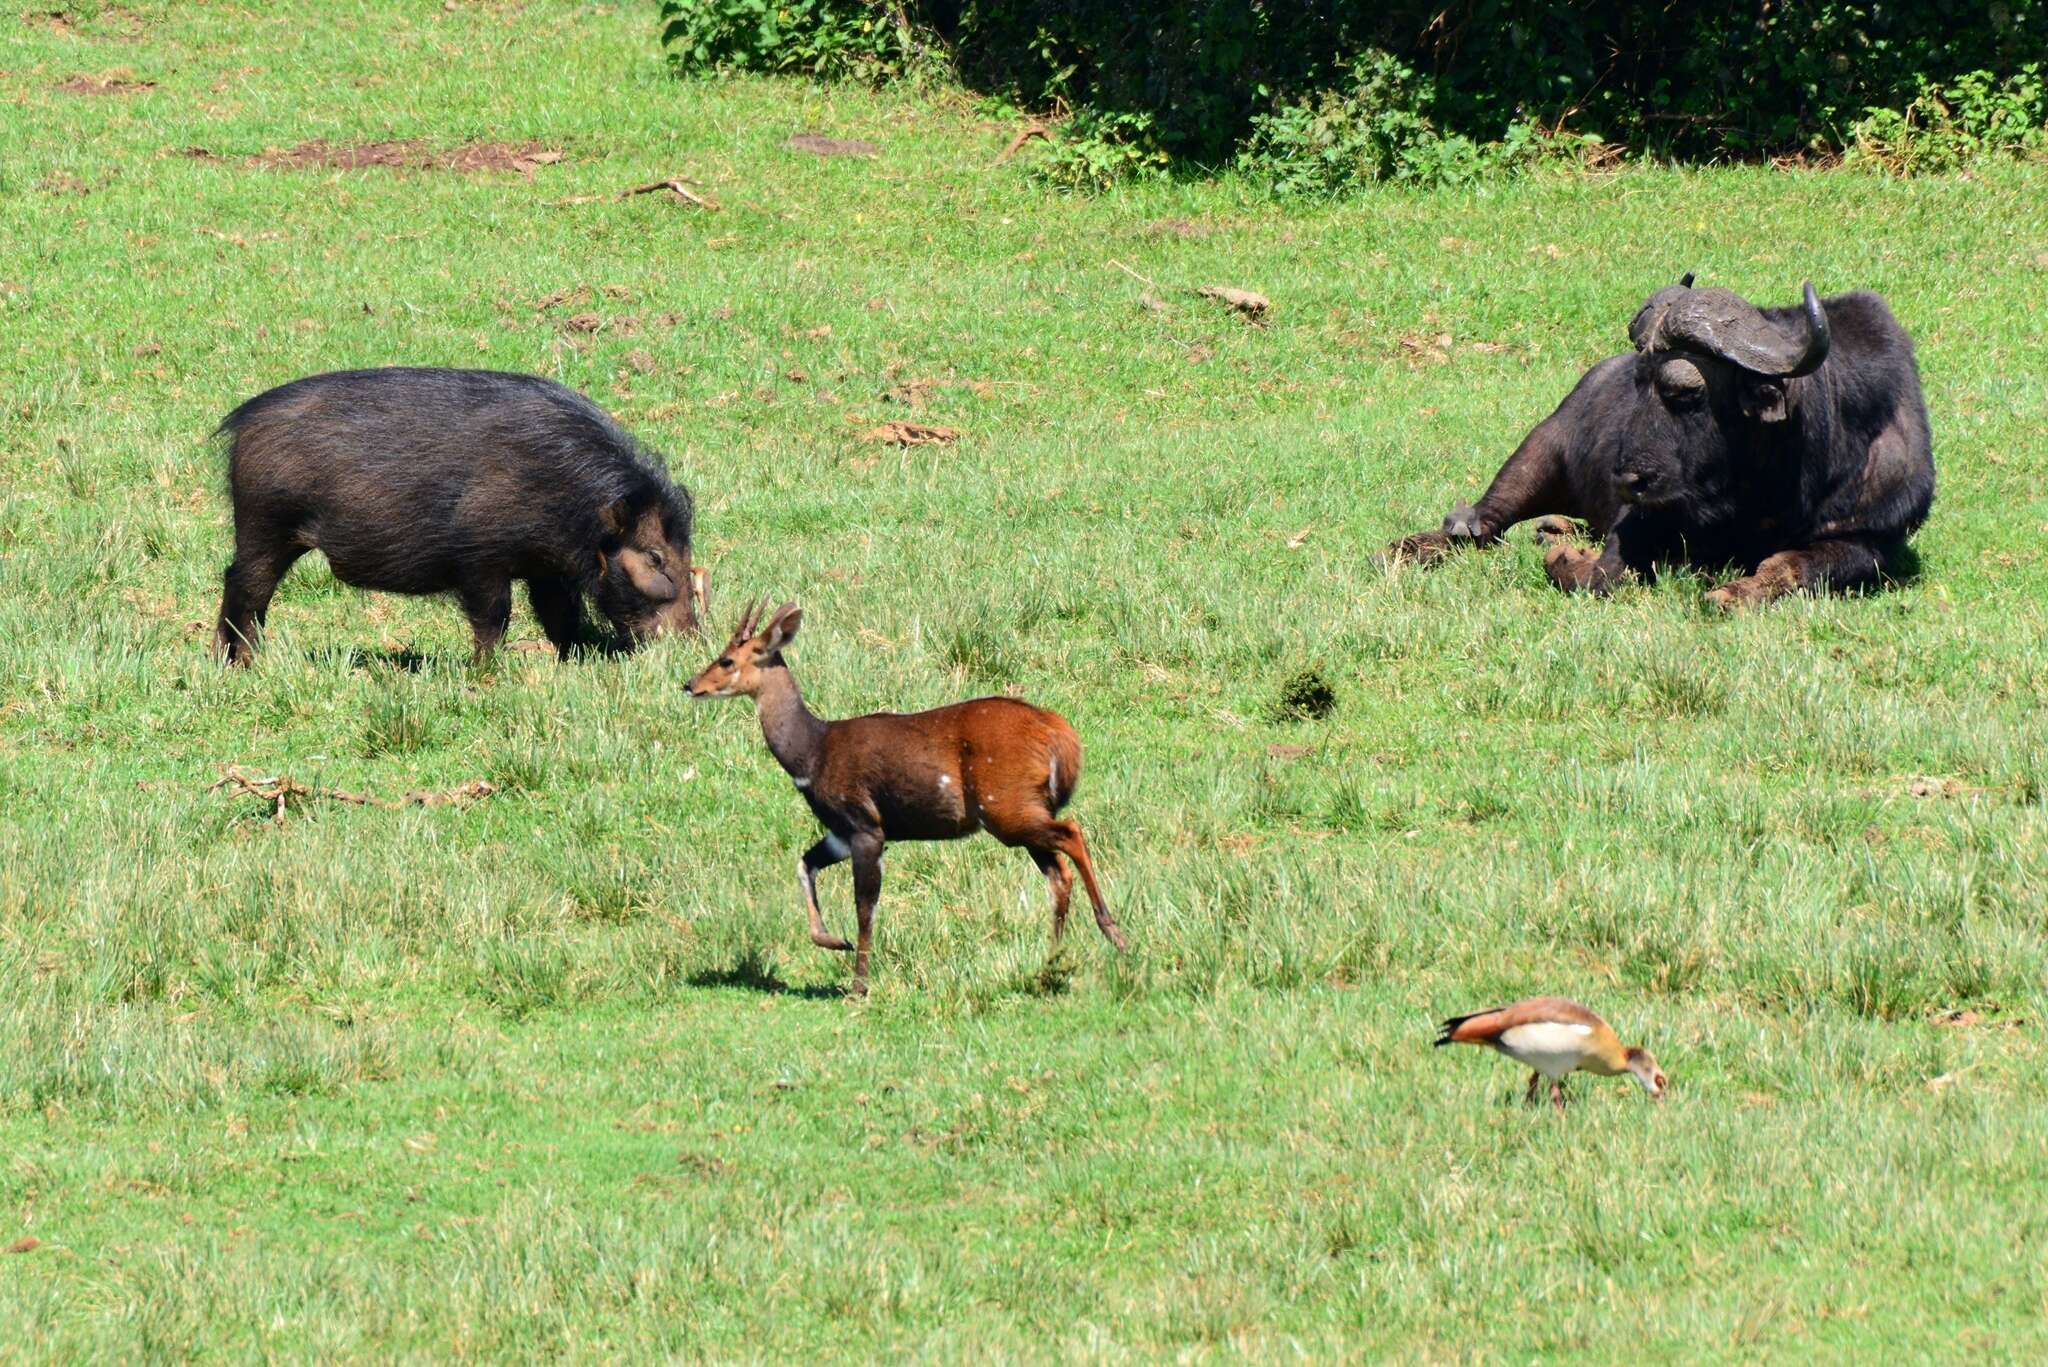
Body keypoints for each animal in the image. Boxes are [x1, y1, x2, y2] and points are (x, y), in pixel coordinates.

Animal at [696, 598, 1130, 996]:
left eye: (726, 660)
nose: (690, 685)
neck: (814, 752)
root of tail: (1060, 736)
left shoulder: (866, 827)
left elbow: (865, 907)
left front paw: (858, 987)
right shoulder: (841, 834)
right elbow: (805, 864)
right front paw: (835, 941)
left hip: (1008, 811)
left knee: (1071, 833)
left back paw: (1114, 934)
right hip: (1022, 816)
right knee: (1058, 873)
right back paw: (1051, 965)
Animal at [1376, 274, 1933, 606]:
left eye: (1684, 391)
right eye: (1637, 381)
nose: (1627, 478)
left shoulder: (1875, 540)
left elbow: (1796, 565)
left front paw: (1736, 593)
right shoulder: (1645, 515)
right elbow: (1605, 573)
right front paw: (1566, 559)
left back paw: (1557, 530)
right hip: (1538, 451)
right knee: (1481, 525)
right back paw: (1414, 547)